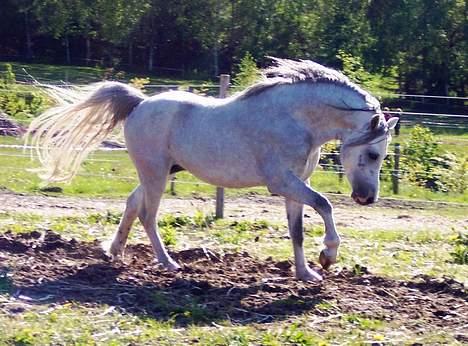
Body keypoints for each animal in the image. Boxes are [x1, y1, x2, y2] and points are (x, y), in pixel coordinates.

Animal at [27, 58, 396, 282]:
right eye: (374, 154)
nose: (368, 198)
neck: (296, 118)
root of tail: (140, 104)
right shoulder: (282, 182)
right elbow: (325, 204)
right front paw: (328, 256)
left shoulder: (295, 185)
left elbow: (297, 231)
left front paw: (307, 273)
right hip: (156, 173)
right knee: (148, 214)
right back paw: (168, 263)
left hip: (160, 172)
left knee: (133, 204)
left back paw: (114, 251)